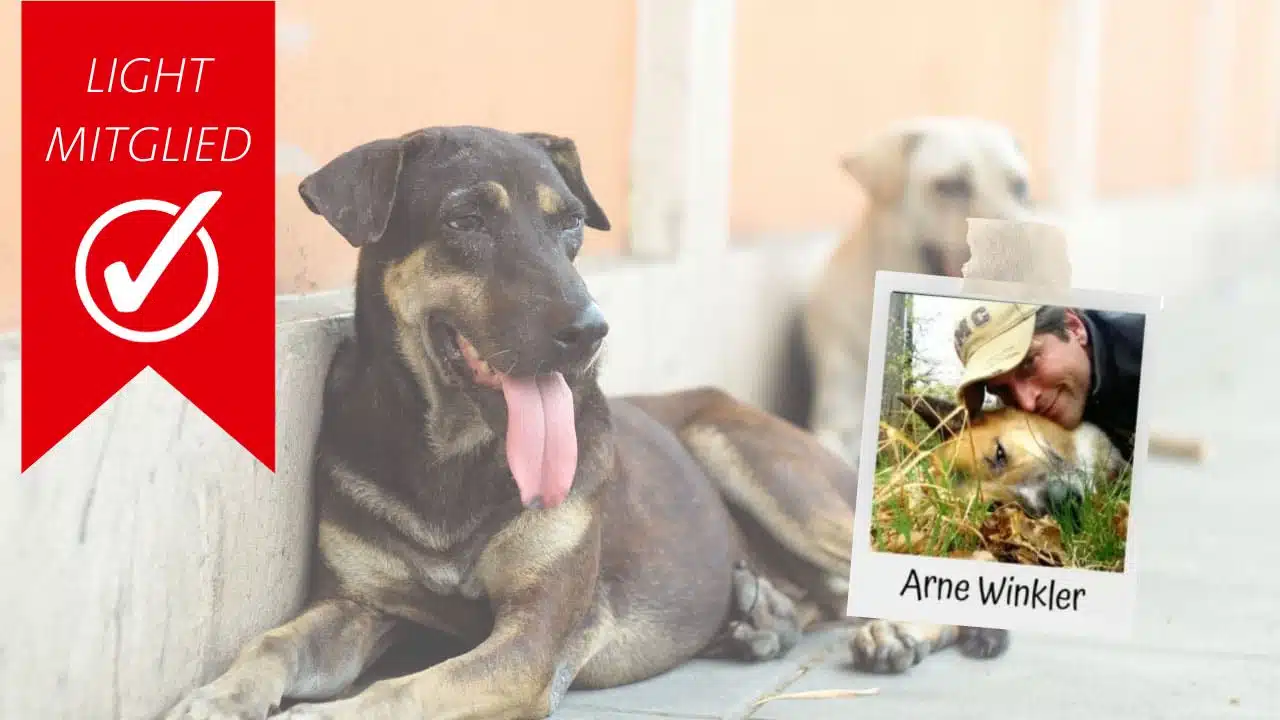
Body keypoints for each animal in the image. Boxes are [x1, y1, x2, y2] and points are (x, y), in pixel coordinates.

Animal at [162, 124, 1008, 717]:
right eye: (465, 220)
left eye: (569, 223)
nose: (590, 331)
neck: (453, 455)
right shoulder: (360, 606)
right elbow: (272, 645)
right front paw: (216, 696)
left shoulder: (534, 640)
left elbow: (401, 694)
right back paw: (761, 617)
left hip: (755, 460)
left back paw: (896, 631)